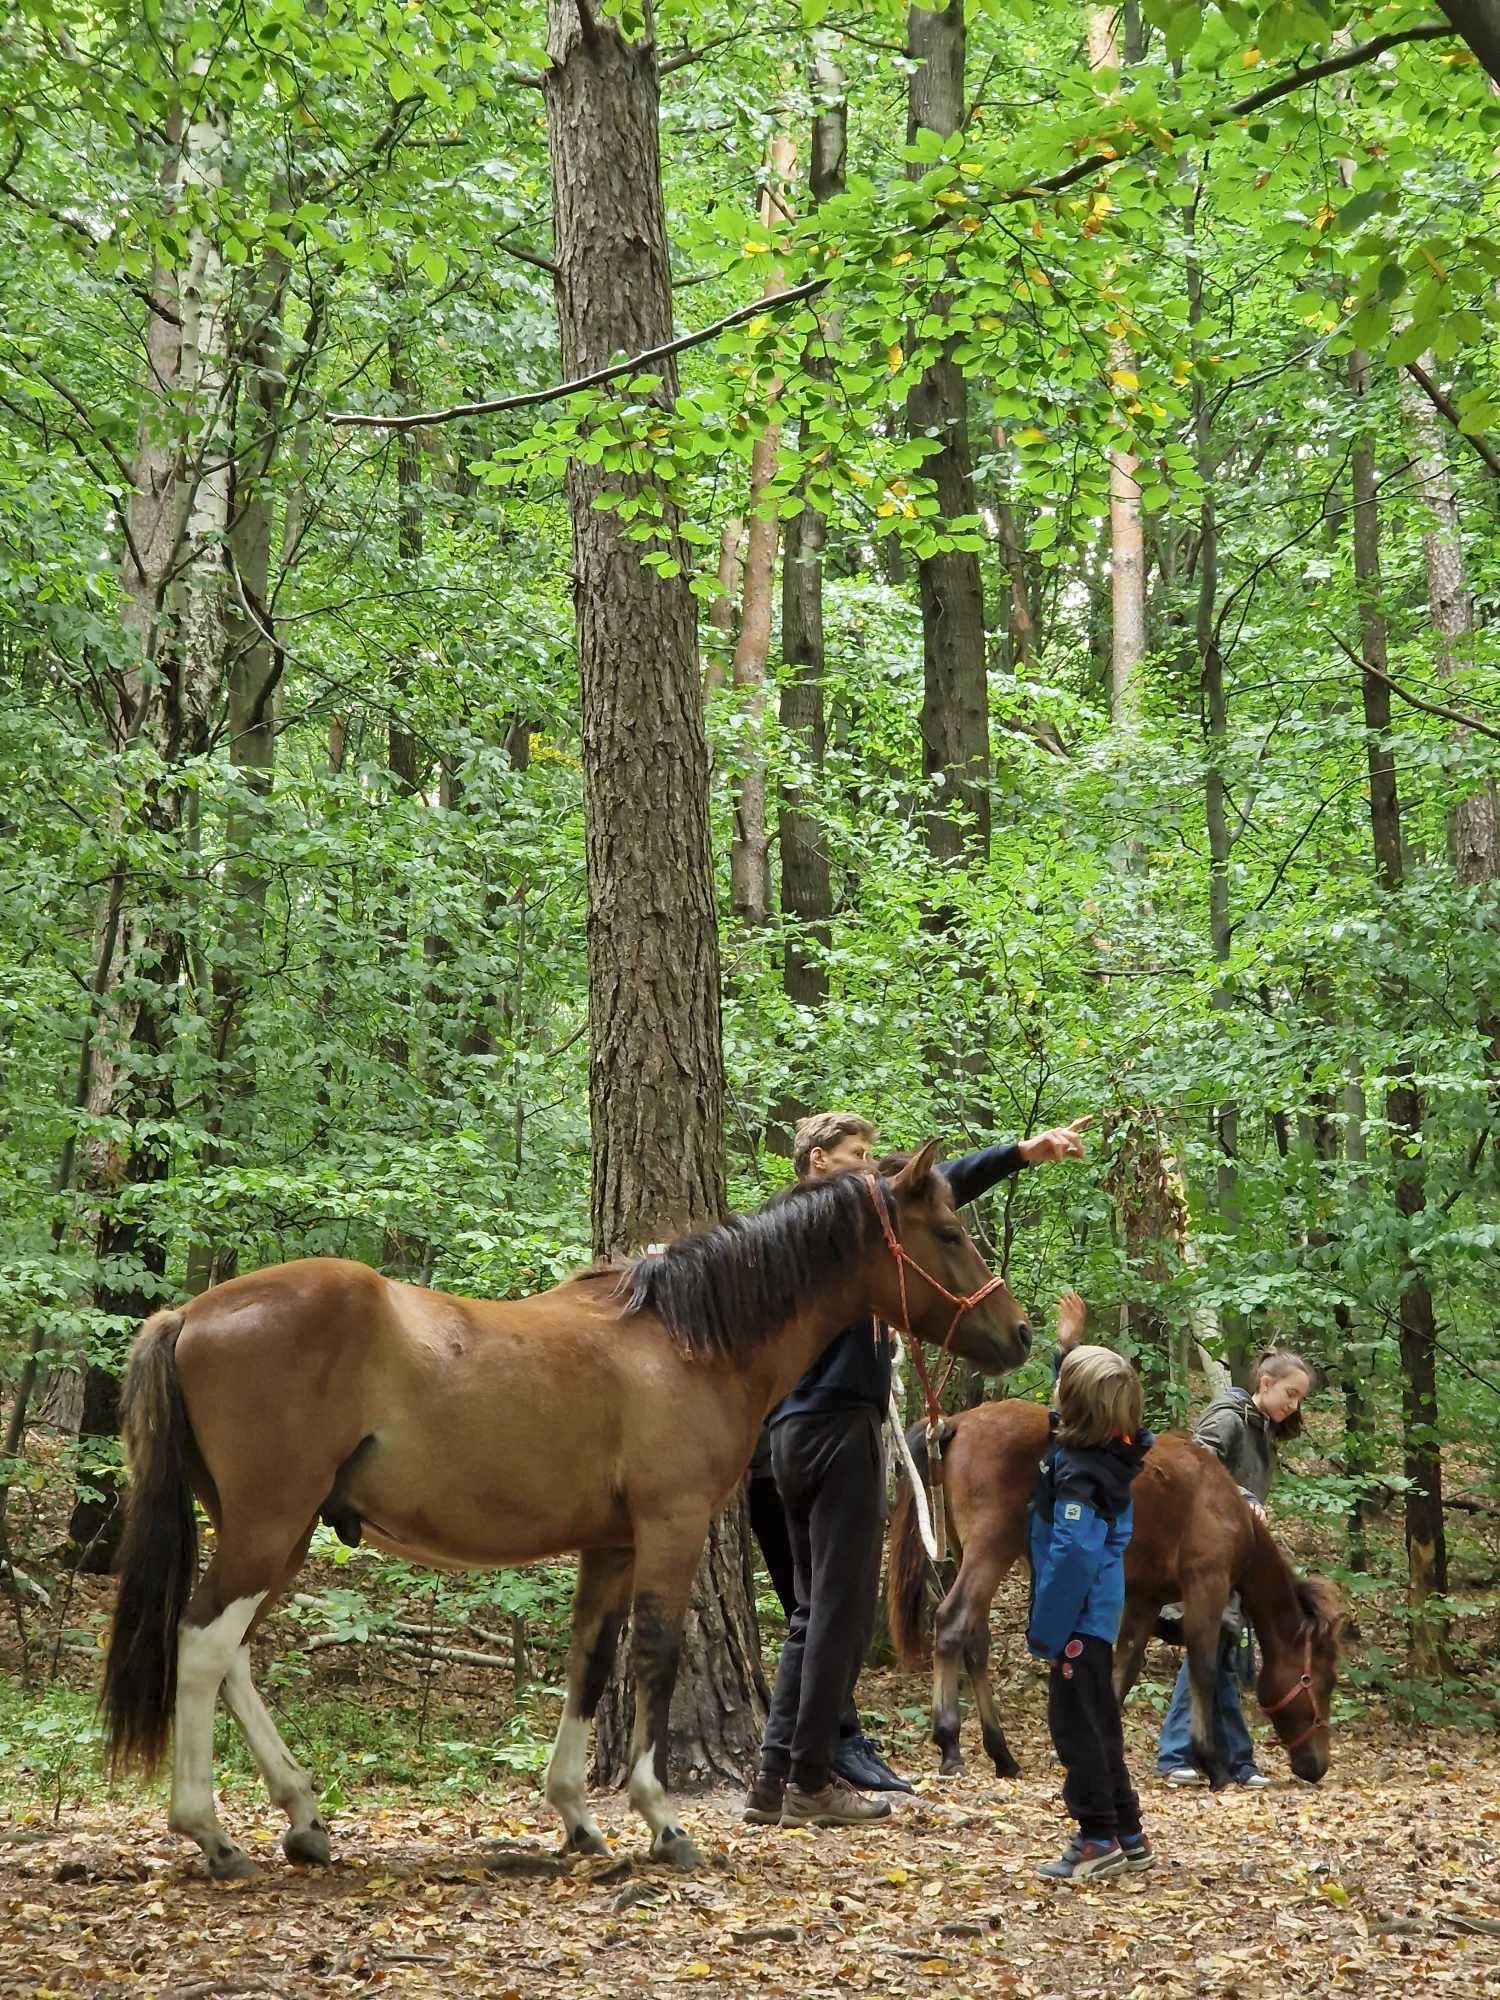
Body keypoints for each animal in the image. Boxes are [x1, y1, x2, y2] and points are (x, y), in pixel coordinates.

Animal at [97, 1152, 1032, 1880]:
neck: (686, 1341)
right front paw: (661, 1820)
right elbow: (654, 1656)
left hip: (282, 1535)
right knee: (204, 1644)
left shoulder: (610, 1547)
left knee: (231, 1658)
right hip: (268, 1526)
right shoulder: (669, 1528)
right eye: (949, 1235)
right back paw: (211, 1833)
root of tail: (191, 1313)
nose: (1019, 1332)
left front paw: (577, 1816)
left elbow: (591, 1660)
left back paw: (301, 1817)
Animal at [888, 1400, 1344, 1792]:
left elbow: (1122, 1671)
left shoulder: (1145, 1600)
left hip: (971, 1552)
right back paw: (950, 1743)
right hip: (990, 1549)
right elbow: (1204, 1669)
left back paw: (1002, 1754)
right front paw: (1212, 1762)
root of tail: (957, 1422)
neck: (1222, 1504)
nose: (1318, 1765)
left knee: (975, 1641)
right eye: (1321, 1681)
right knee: (951, 1623)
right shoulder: (1206, 1586)